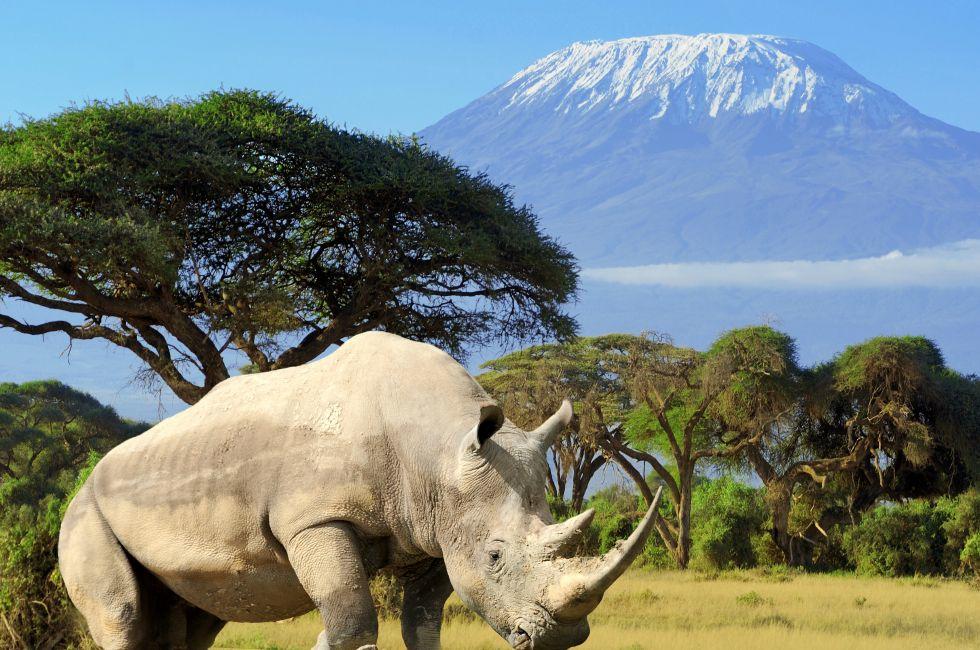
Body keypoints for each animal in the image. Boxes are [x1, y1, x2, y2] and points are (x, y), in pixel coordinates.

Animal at [59, 331, 661, 650]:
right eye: (495, 557)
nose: (565, 636)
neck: (441, 447)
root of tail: (86, 479)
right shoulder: (315, 518)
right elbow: (350, 619)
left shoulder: (435, 529)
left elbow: (422, 623)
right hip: (85, 512)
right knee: (123, 616)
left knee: (193, 620)